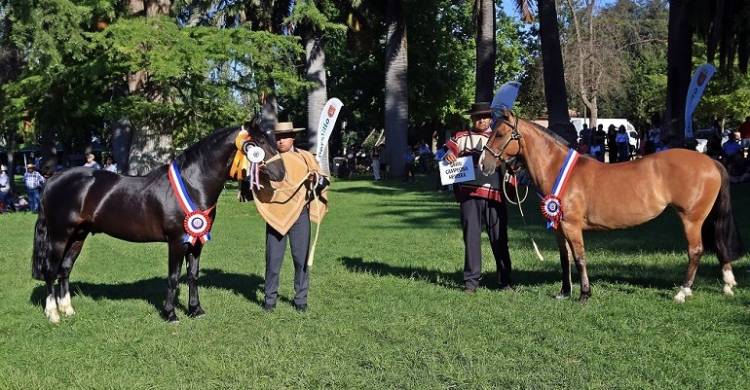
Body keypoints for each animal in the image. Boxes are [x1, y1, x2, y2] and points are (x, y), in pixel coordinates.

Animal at [31, 119, 284, 322]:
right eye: (259, 143)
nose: (281, 173)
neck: (193, 184)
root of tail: (52, 180)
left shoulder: (197, 242)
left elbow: (192, 276)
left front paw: (195, 310)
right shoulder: (176, 241)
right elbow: (173, 278)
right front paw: (170, 314)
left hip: (78, 236)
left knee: (65, 269)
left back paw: (68, 310)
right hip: (59, 236)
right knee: (51, 271)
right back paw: (53, 314)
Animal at [482, 109, 748, 302]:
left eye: (500, 134)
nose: (484, 164)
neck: (559, 170)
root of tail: (711, 161)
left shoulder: (571, 226)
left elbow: (579, 258)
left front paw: (584, 294)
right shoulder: (558, 227)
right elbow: (564, 258)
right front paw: (564, 292)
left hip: (691, 218)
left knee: (695, 251)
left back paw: (682, 292)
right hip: (706, 217)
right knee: (719, 244)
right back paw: (727, 285)